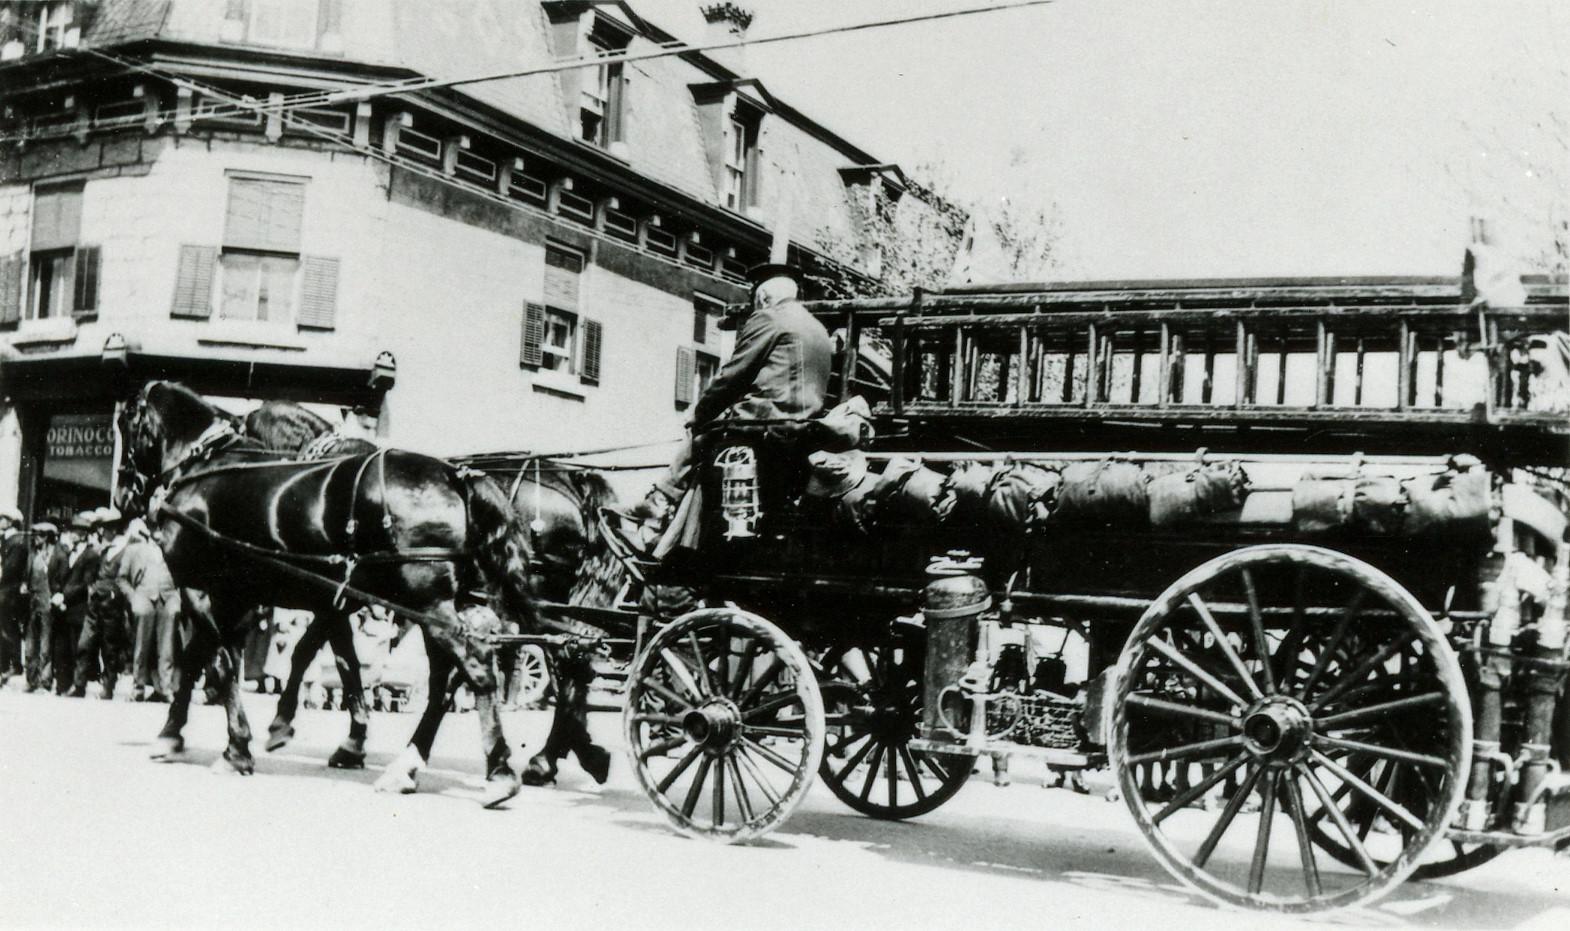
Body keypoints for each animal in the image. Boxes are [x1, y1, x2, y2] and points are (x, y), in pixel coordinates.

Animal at [116, 381, 533, 803]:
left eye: (125, 424)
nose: (123, 496)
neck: (204, 468)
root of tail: (456, 476)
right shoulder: (255, 597)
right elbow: (327, 661)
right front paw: (174, 733)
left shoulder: (201, 588)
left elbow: (221, 665)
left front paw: (237, 748)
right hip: (442, 607)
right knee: (444, 683)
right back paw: (409, 766)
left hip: (427, 606)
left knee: (475, 666)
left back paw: (498, 771)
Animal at [238, 398, 618, 784]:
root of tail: (574, 480)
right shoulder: (348, 598)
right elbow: (347, 661)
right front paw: (354, 741)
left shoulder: (337, 595)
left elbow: (313, 652)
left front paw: (294, 726)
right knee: (570, 663)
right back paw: (568, 752)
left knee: (563, 664)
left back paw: (547, 758)